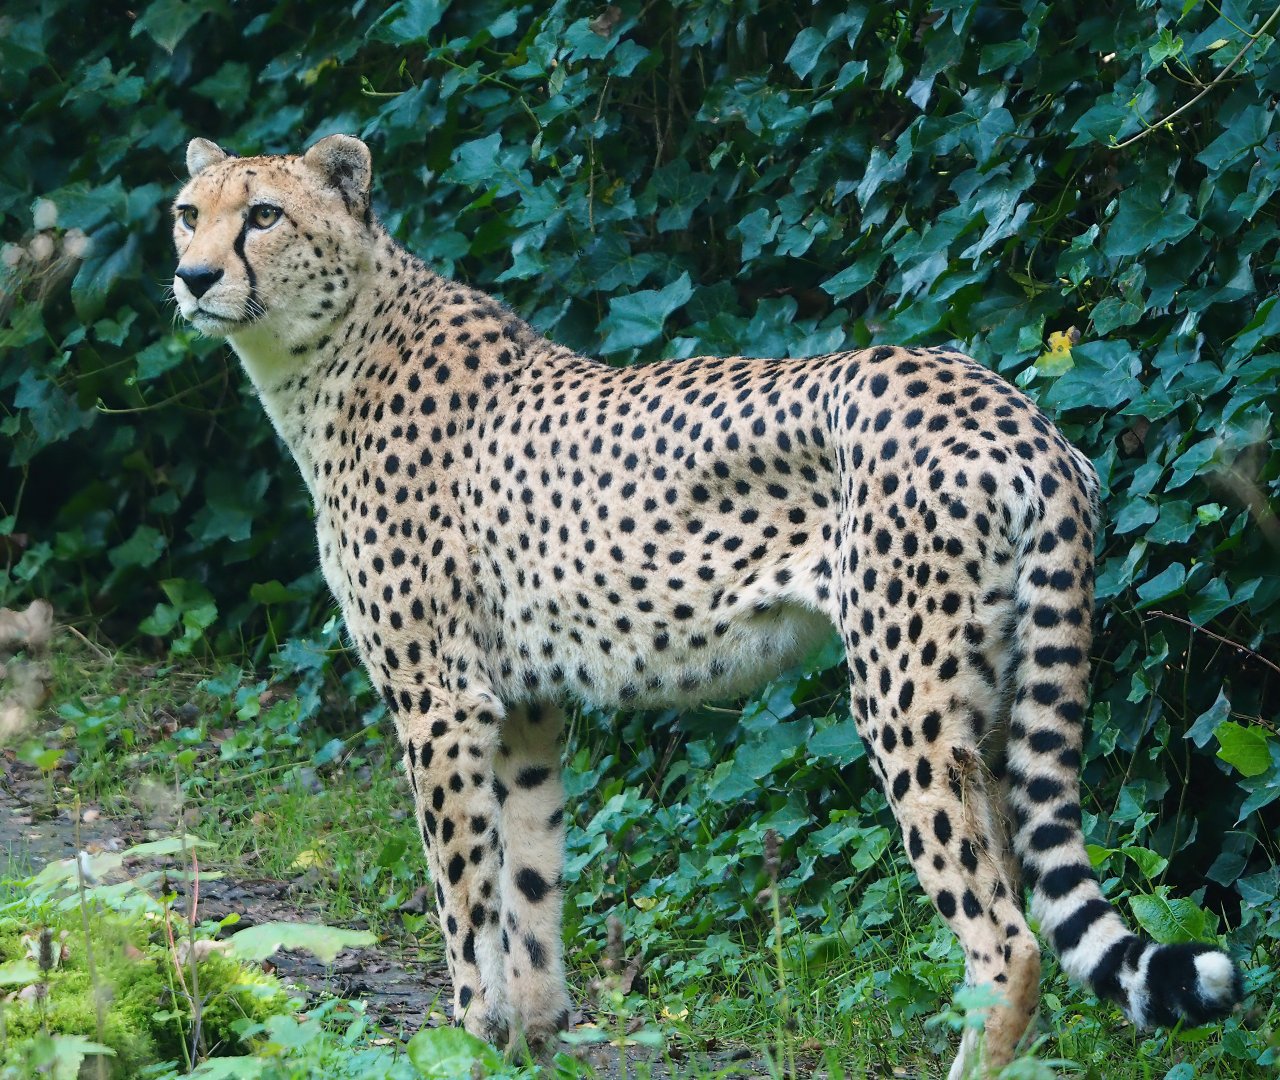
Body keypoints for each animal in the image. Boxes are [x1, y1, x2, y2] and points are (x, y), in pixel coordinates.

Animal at [170, 134, 1243, 1076]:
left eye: (263, 215)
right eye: (188, 213)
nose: (191, 276)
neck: (327, 349)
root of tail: (1014, 407)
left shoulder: (440, 703)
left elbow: (466, 907)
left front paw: (468, 1042)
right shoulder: (522, 707)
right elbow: (529, 897)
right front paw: (527, 1046)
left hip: (904, 697)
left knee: (1005, 939)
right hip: (993, 698)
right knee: (1025, 898)